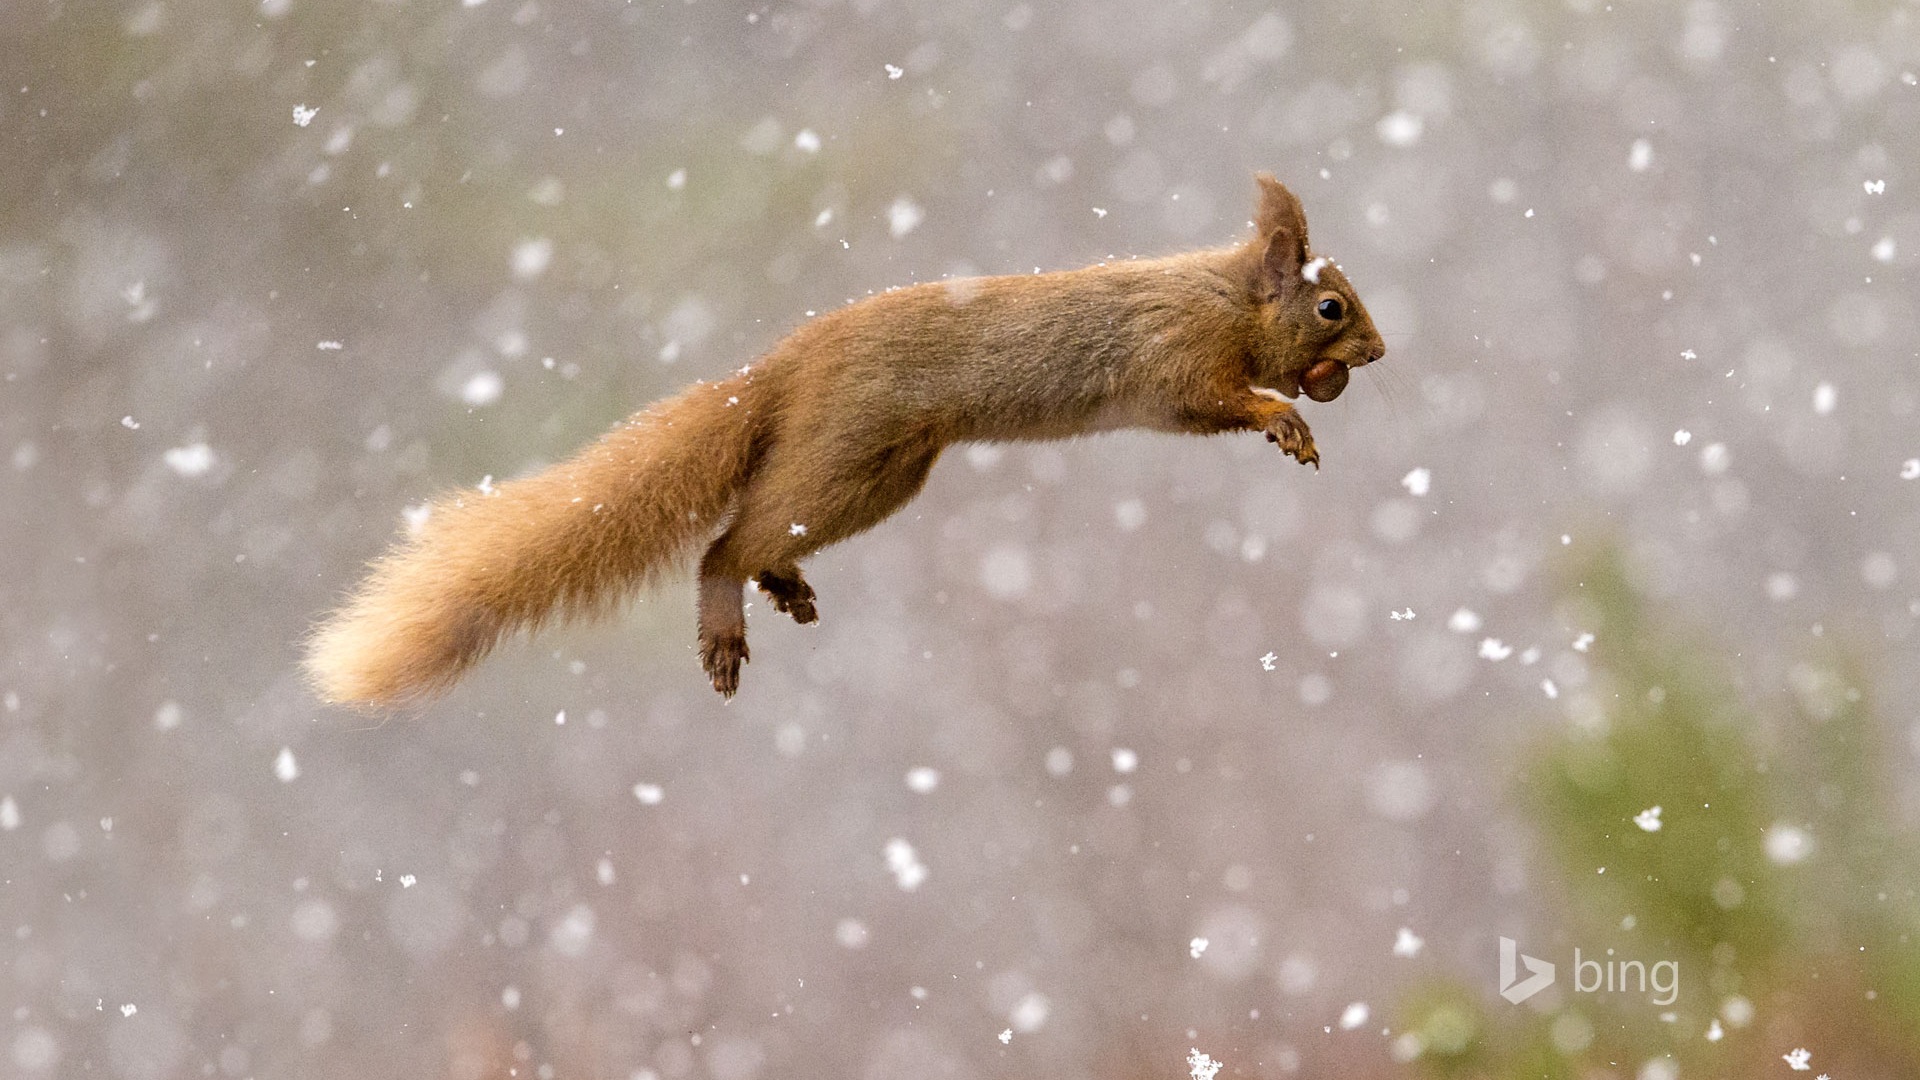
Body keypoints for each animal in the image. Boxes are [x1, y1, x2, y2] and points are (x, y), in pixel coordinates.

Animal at [303, 170, 1382, 699]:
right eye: (1330, 307)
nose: (1375, 352)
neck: (1226, 295)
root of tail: (781, 369)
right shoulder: (1173, 358)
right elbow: (1212, 399)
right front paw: (1281, 419)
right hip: (849, 452)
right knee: (723, 542)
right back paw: (727, 619)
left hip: (880, 476)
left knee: (759, 528)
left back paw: (780, 585)